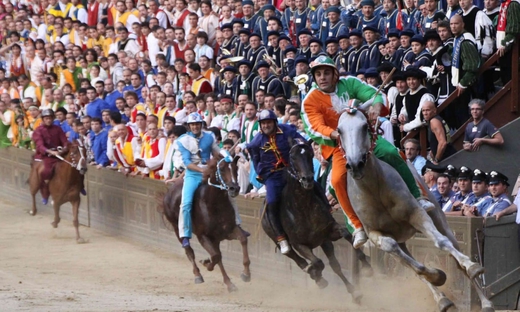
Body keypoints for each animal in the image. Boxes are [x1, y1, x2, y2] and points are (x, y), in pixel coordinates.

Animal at [158, 154, 252, 292]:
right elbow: (215, 256)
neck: (214, 204)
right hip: (177, 229)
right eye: (222, 168)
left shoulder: (228, 231)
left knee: (218, 256)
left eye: (236, 169)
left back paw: (229, 283)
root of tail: (168, 192)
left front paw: (246, 274)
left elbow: (243, 240)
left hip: (216, 239)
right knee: (189, 251)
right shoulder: (203, 236)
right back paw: (198, 275)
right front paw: (206, 264)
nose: (234, 188)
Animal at [262, 138, 372, 302]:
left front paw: (365, 265)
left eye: (310, 154)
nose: (307, 179)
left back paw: (354, 292)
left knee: (334, 265)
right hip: (278, 240)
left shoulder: (328, 232)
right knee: (296, 258)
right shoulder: (299, 244)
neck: (303, 207)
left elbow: (345, 235)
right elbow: (317, 262)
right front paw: (315, 273)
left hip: (323, 242)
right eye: (292, 157)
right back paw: (314, 274)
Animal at [336, 105, 494, 312]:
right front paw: (437, 276)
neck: (375, 189)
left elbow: (441, 243)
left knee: (454, 253)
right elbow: (410, 263)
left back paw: (484, 300)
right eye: (339, 131)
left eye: (364, 126)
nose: (355, 165)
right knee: (407, 260)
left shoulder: (416, 214)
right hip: (401, 240)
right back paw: (443, 300)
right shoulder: (375, 234)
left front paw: (468, 267)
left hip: (439, 218)